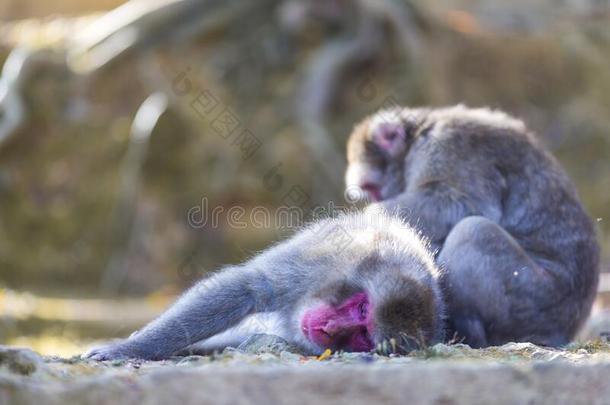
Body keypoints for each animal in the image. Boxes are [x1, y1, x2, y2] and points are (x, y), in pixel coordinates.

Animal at [86, 210, 442, 358]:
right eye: (363, 307)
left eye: (363, 335)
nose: (328, 328)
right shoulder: (319, 263)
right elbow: (248, 286)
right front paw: (126, 349)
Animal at [346, 105, 600, 348]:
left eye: (371, 188)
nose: (376, 199)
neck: (418, 136)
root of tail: (568, 329)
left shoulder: (447, 147)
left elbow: (462, 203)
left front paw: (371, 218)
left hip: (535, 301)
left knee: (472, 231)